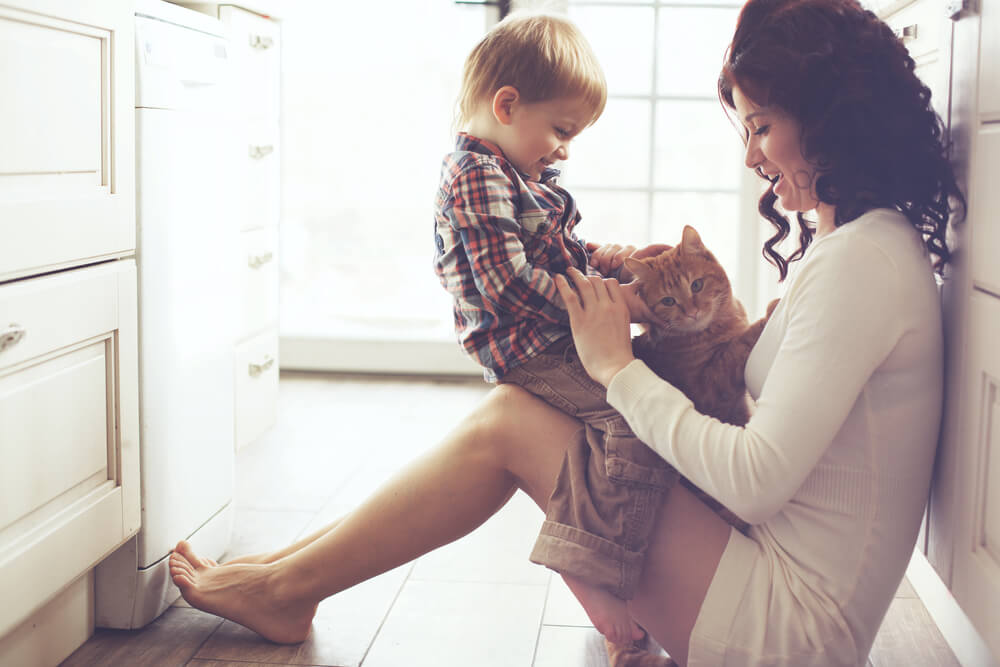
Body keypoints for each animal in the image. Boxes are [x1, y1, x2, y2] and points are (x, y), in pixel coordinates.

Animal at [600, 226, 772, 667]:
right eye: (668, 301)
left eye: (696, 285)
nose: (693, 311)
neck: (715, 327)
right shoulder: (712, 387)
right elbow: (738, 349)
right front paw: (769, 312)